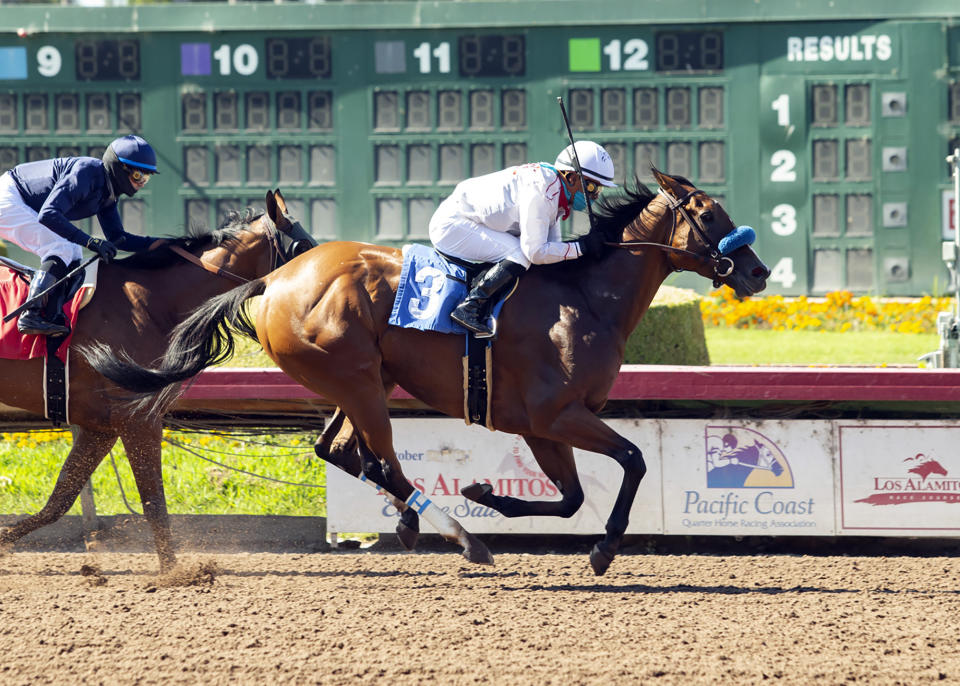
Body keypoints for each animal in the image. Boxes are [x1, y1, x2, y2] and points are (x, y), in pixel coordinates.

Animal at [0, 191, 314, 572]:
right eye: (302, 245)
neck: (151, 304)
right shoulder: (138, 418)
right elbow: (153, 501)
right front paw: (174, 574)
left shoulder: (100, 427)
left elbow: (60, 499)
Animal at [86, 171, 768, 576]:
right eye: (709, 214)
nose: (758, 272)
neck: (585, 296)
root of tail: (274, 278)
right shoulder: (557, 414)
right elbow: (633, 460)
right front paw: (602, 549)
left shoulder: (542, 426)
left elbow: (573, 497)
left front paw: (486, 492)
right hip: (357, 380)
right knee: (379, 455)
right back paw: (459, 536)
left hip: (363, 380)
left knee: (339, 448)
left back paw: (424, 522)